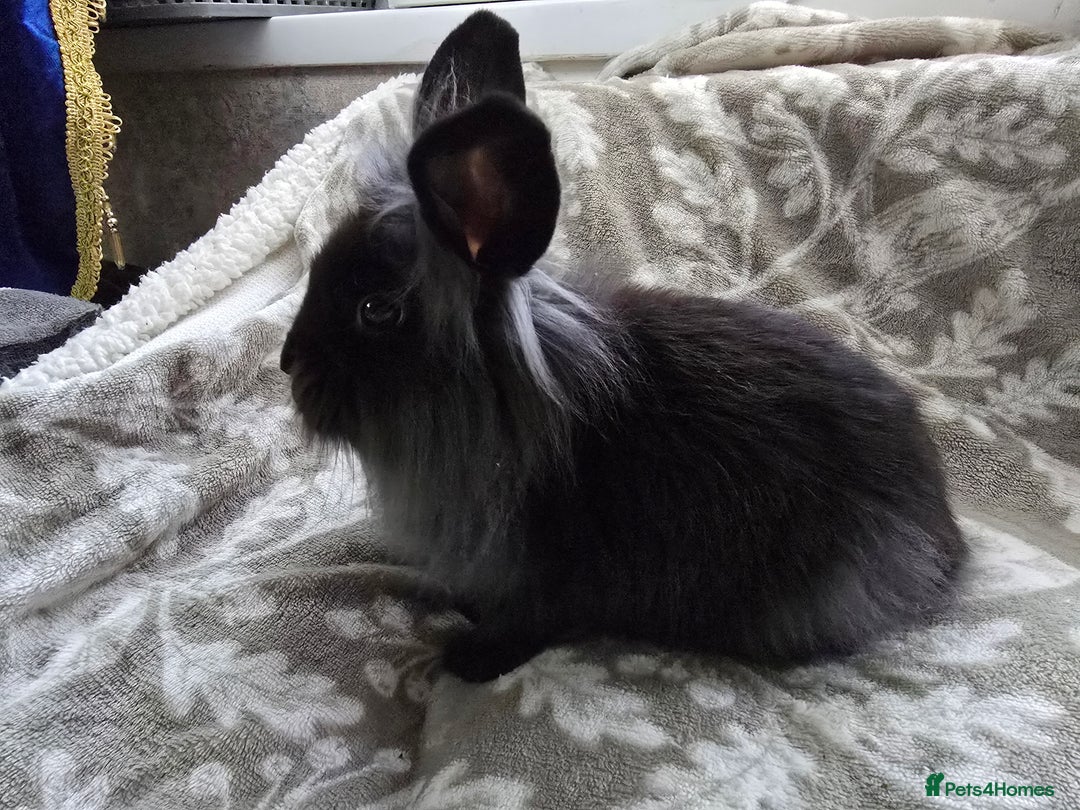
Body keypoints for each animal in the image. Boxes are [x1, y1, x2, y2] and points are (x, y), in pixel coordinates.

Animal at [280, 10, 967, 683]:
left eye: (377, 310)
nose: (287, 364)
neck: (505, 414)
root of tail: (942, 538)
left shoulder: (546, 580)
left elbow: (525, 625)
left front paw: (463, 660)